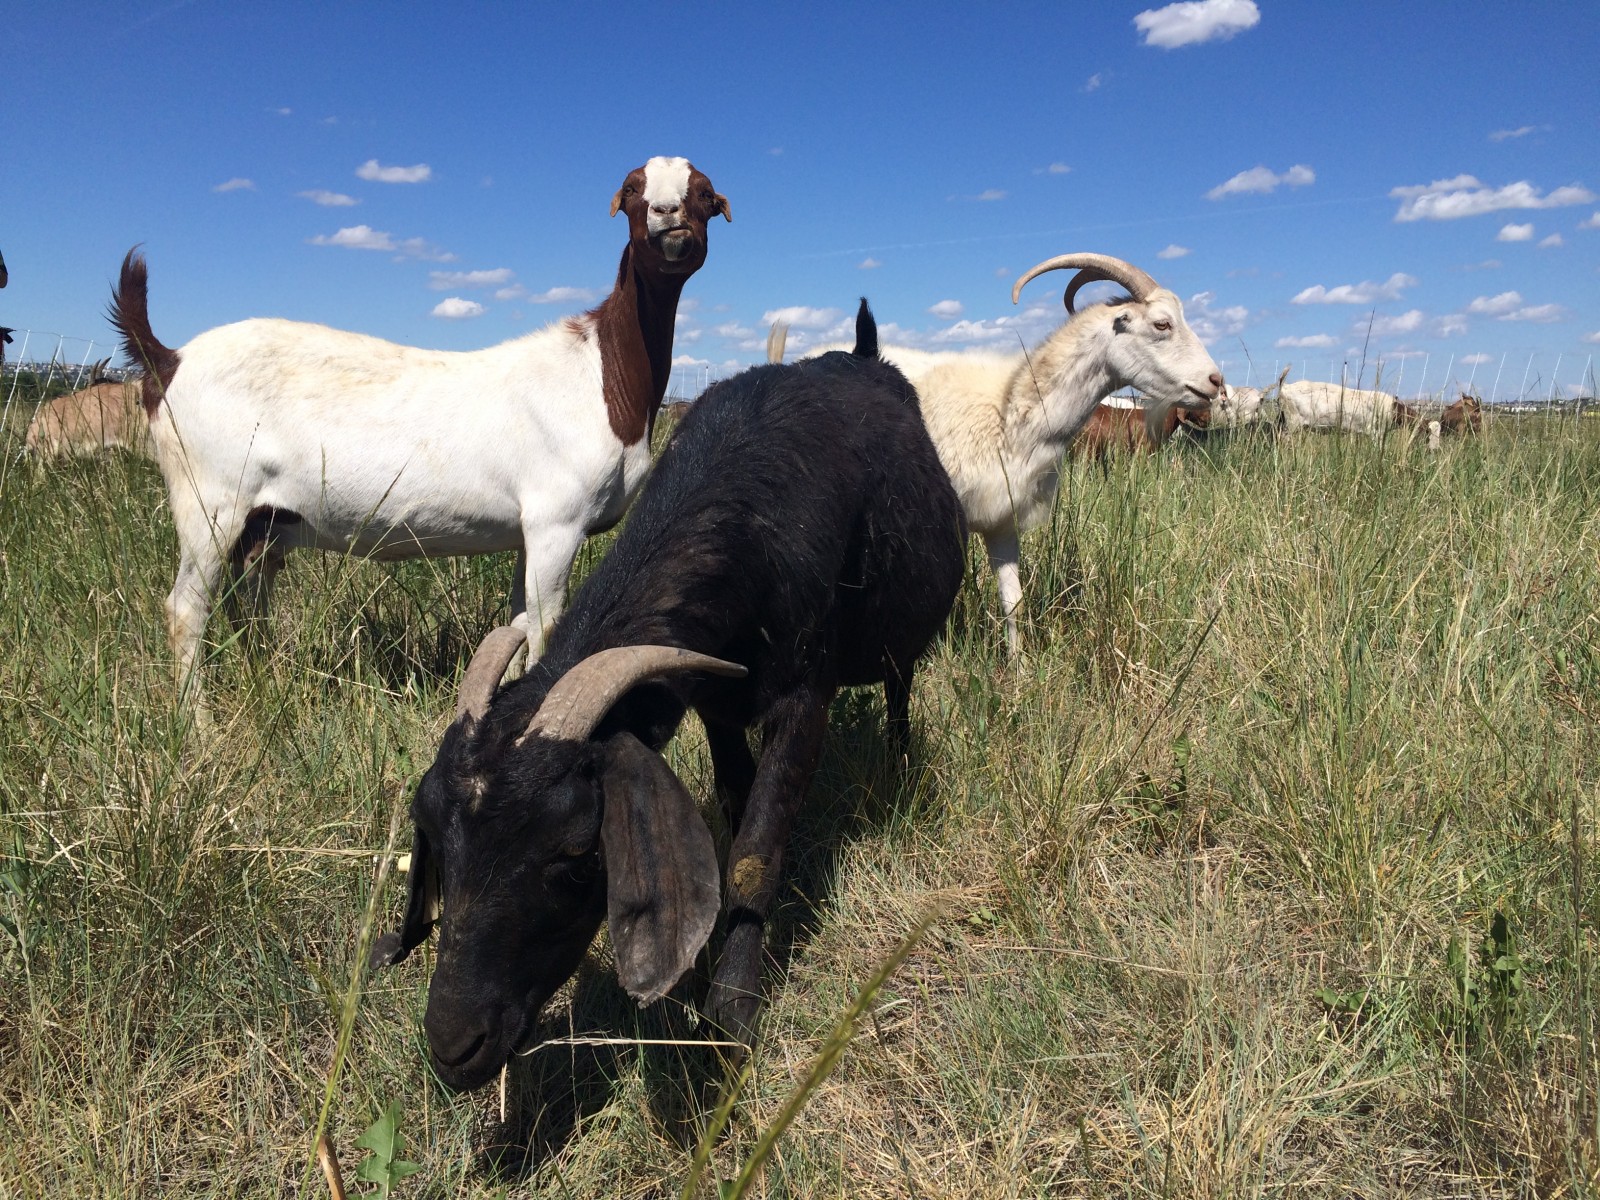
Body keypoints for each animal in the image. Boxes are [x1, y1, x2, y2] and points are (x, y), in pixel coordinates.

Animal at [110, 157, 730, 704]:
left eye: (703, 192)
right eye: (632, 189)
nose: (668, 212)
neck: (603, 374)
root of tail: (168, 360)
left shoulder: (527, 530)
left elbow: (518, 622)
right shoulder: (557, 519)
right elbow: (546, 627)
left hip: (263, 520)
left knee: (248, 602)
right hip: (211, 496)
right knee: (186, 608)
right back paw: (197, 720)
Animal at [371, 301, 967, 1091]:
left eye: (576, 855)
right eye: (435, 836)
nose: (454, 1044)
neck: (752, 511)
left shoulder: (804, 699)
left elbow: (753, 856)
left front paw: (730, 1017)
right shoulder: (718, 700)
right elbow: (739, 807)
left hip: (903, 642)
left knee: (900, 687)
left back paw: (897, 761)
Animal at [771, 253, 1222, 655]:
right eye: (1162, 323)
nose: (1215, 382)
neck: (1010, 411)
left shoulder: (1002, 519)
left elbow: (1014, 602)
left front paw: (1017, 671)